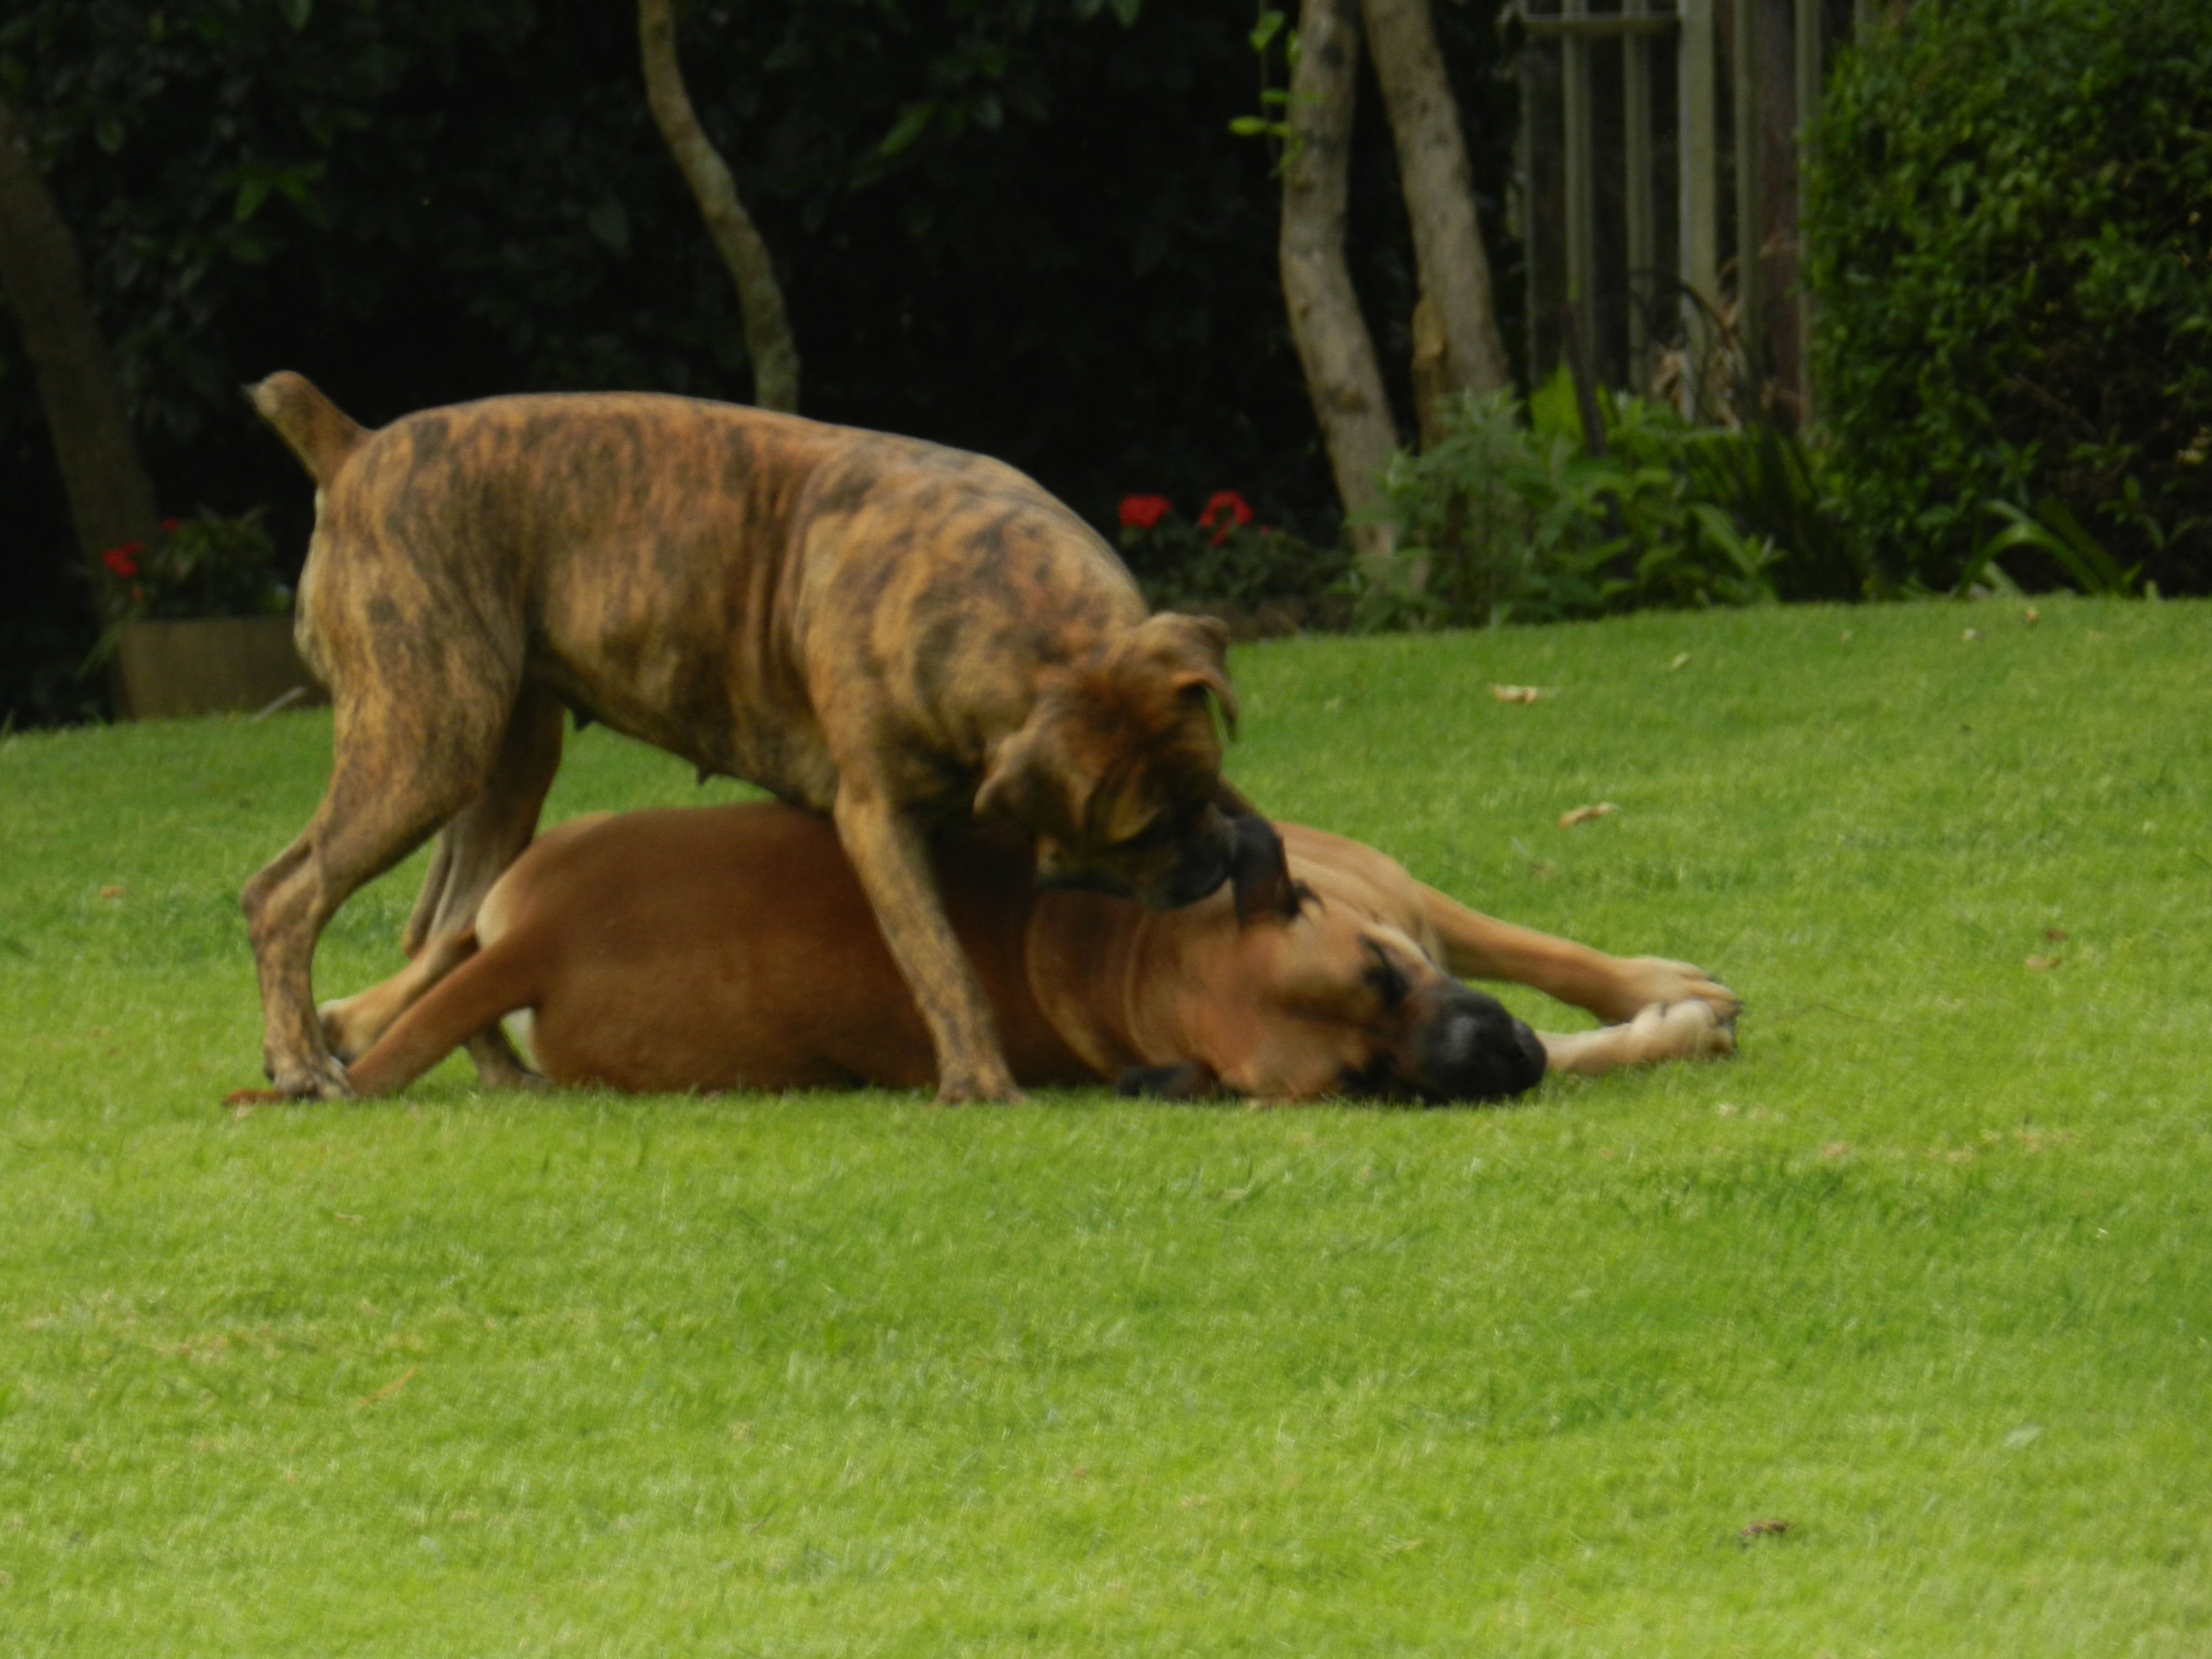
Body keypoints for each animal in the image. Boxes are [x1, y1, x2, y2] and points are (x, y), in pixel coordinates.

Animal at [241, 375, 1256, 1104]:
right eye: (1134, 833)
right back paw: (302, 1062)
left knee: (441, 927)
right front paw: (981, 1082)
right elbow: (940, 961)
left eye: (1207, 786)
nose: (1215, 867)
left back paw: (484, 1070)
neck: (1035, 627)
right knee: (284, 897)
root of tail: (358, 448)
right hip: (423, 746)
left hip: (502, 765)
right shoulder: (877, 819)